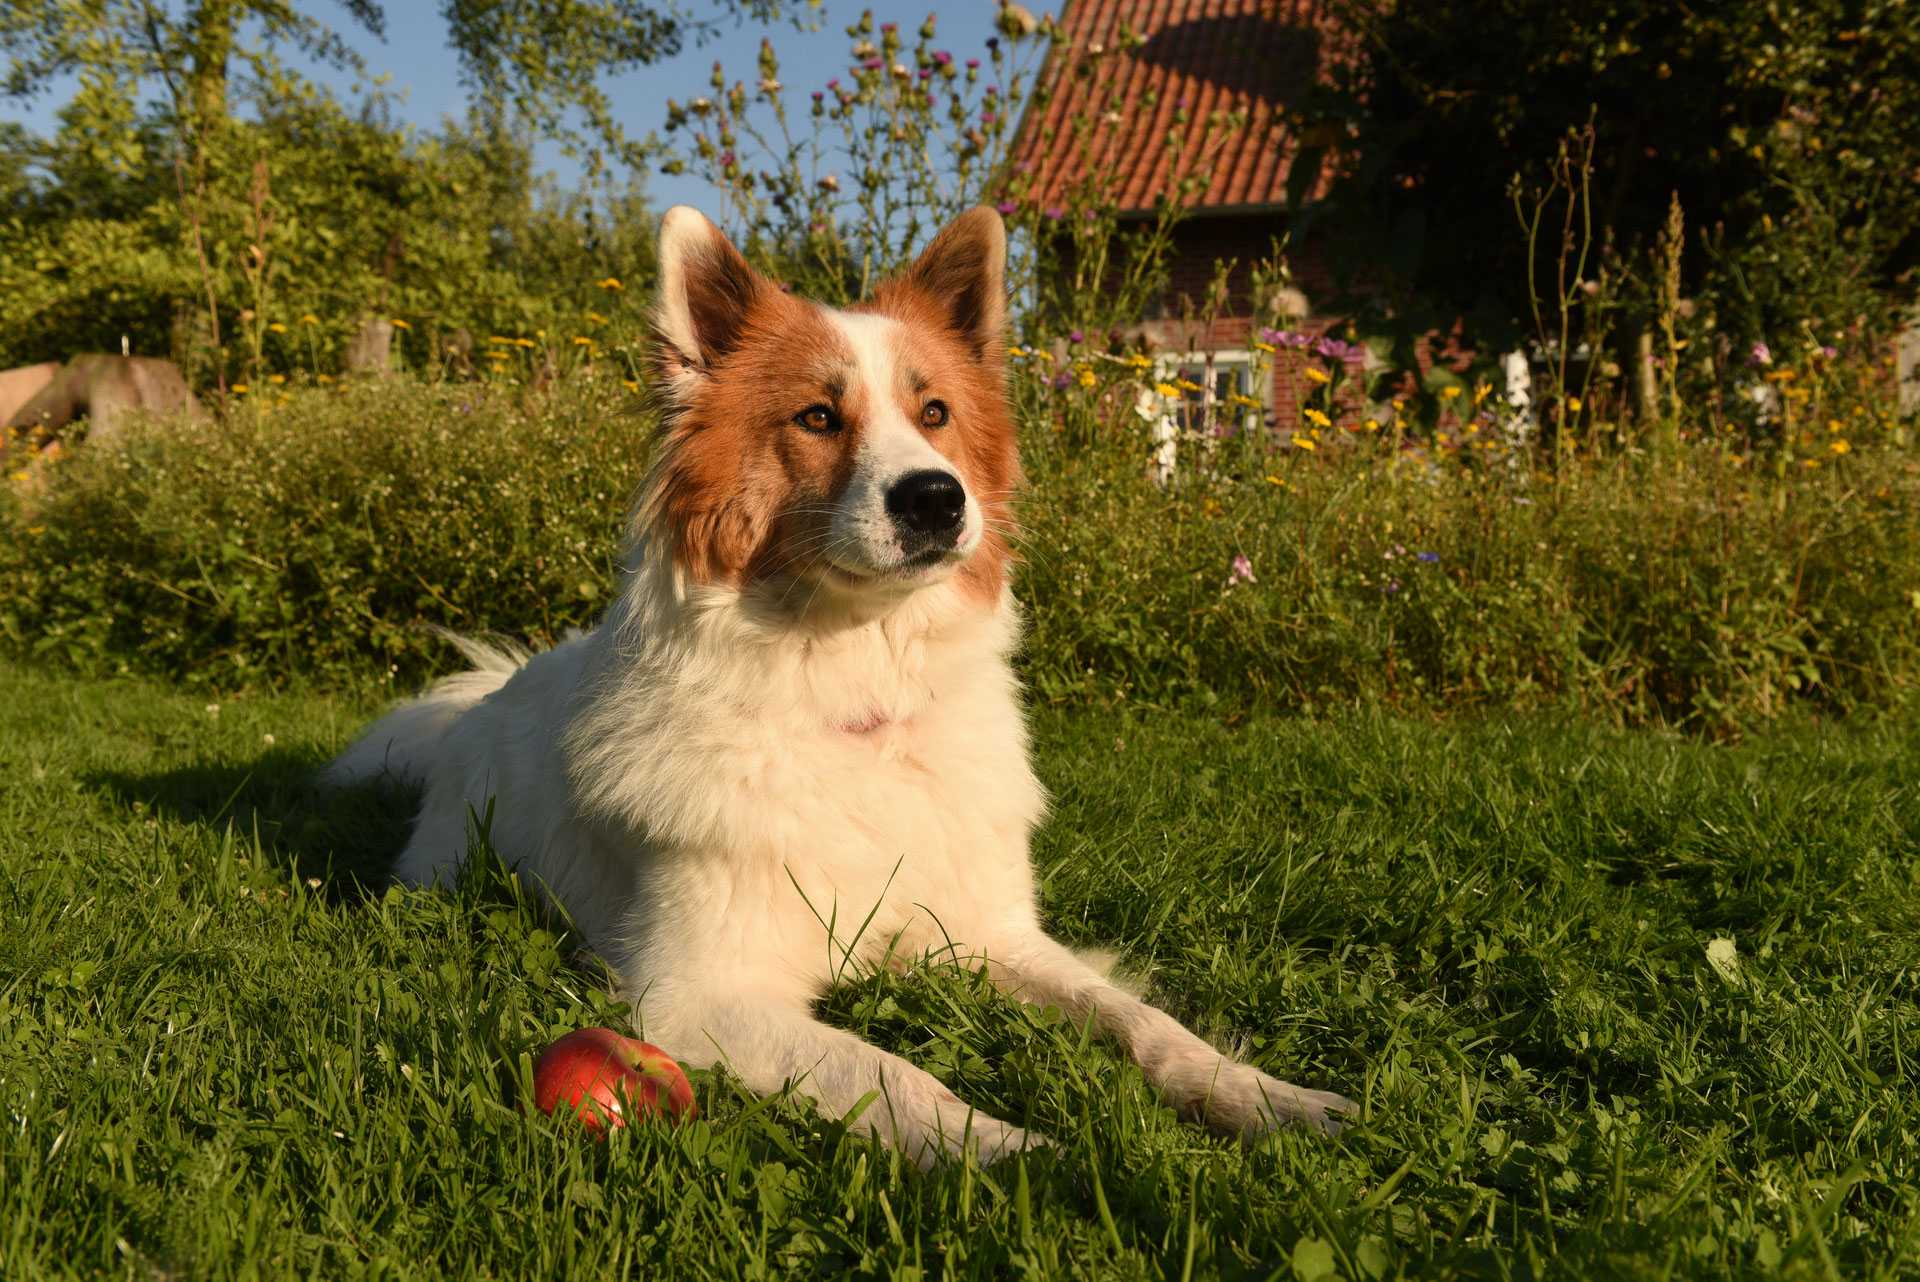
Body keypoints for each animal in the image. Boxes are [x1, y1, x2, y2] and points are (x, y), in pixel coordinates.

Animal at [322, 208, 1351, 1159]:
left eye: (935, 414)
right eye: (818, 417)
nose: (937, 498)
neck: (859, 710)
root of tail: (491, 689)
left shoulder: (998, 935)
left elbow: (1144, 1021)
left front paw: (1263, 1097)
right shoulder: (694, 993)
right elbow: (894, 1074)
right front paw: (1021, 1160)